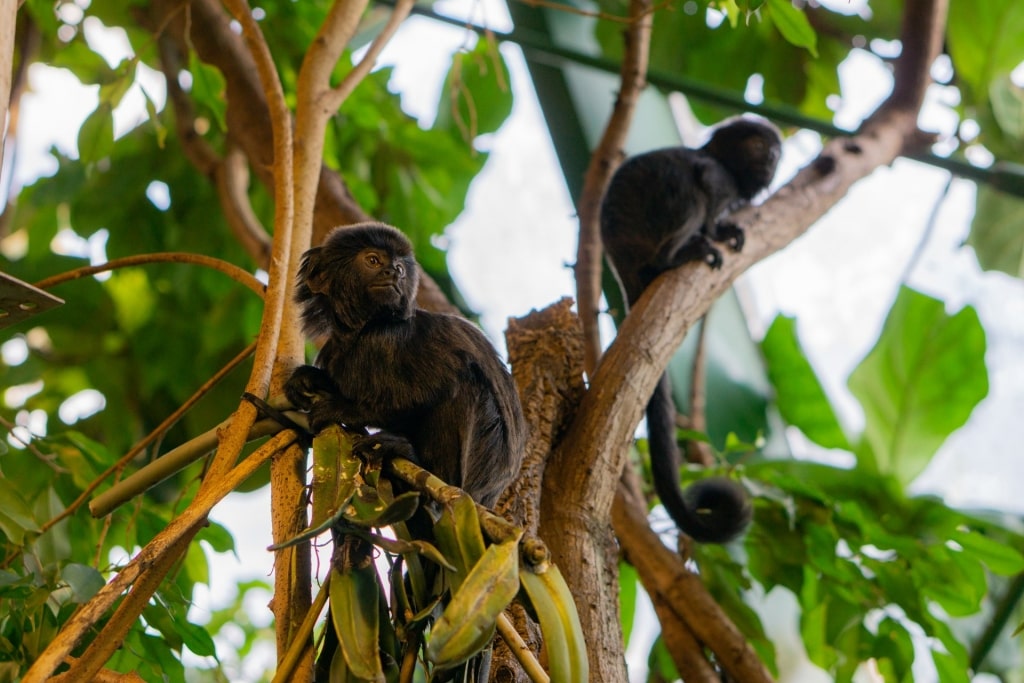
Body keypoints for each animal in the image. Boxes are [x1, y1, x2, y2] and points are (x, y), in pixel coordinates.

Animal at [284, 222, 524, 509]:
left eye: (398, 268)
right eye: (373, 261)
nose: (392, 273)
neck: (362, 330)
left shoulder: (386, 339)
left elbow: (416, 396)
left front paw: (341, 410)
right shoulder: (334, 350)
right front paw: (307, 379)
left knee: (465, 385)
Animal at [598, 117, 778, 544]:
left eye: (776, 149)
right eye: (759, 145)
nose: (773, 157)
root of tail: (617, 254)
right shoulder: (719, 177)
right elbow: (705, 182)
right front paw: (717, 230)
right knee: (684, 185)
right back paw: (676, 255)